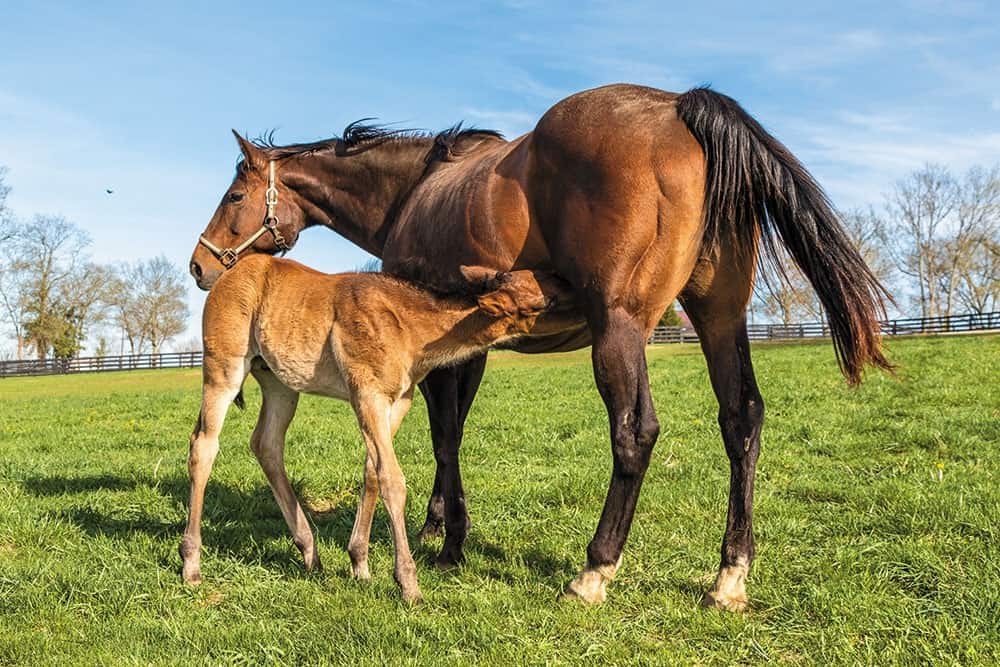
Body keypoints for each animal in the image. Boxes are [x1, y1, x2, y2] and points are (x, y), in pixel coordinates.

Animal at [176, 253, 576, 604]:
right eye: (547, 302)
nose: (579, 289)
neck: (410, 331)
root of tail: (226, 277)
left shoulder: (399, 400)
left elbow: (371, 470)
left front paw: (360, 563)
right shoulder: (366, 393)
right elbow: (392, 479)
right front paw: (408, 584)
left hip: (279, 383)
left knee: (266, 444)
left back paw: (310, 552)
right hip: (224, 367)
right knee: (204, 445)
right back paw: (191, 563)